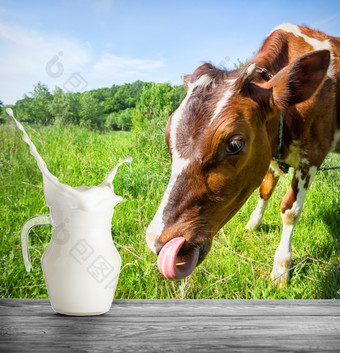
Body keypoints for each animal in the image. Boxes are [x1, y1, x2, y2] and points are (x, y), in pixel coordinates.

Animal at [145, 22, 340, 286]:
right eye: (168, 136)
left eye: (235, 144)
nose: (156, 239)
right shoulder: (269, 150)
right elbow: (265, 189)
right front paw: (253, 224)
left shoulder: (313, 155)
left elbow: (290, 210)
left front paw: (281, 266)